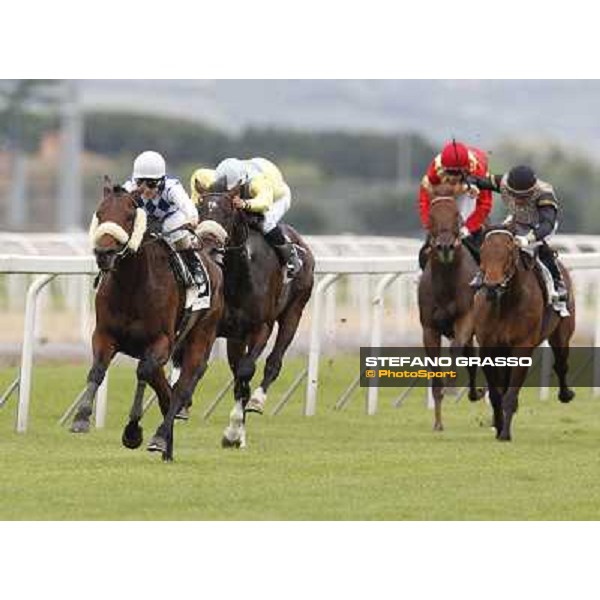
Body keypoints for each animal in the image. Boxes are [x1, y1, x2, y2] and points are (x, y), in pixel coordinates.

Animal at [70, 176, 225, 462]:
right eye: (100, 213)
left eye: (130, 216)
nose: (103, 253)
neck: (131, 286)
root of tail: (212, 262)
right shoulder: (104, 335)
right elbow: (97, 370)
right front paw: (81, 418)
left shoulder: (160, 342)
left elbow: (143, 372)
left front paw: (133, 431)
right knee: (165, 391)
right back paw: (167, 447)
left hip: (201, 336)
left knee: (180, 388)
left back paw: (160, 437)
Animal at [420, 184, 486, 432]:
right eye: (431, 216)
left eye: (457, 216)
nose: (445, 247)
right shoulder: (429, 328)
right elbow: (435, 371)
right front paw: (438, 422)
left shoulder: (466, 319)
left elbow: (456, 351)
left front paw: (451, 385)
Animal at [474, 225, 576, 440]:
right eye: (483, 250)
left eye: (510, 251)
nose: (492, 286)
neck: (505, 304)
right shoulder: (487, 347)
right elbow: (496, 394)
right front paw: (498, 426)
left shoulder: (522, 347)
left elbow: (510, 394)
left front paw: (505, 433)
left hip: (562, 333)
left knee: (561, 363)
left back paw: (566, 394)